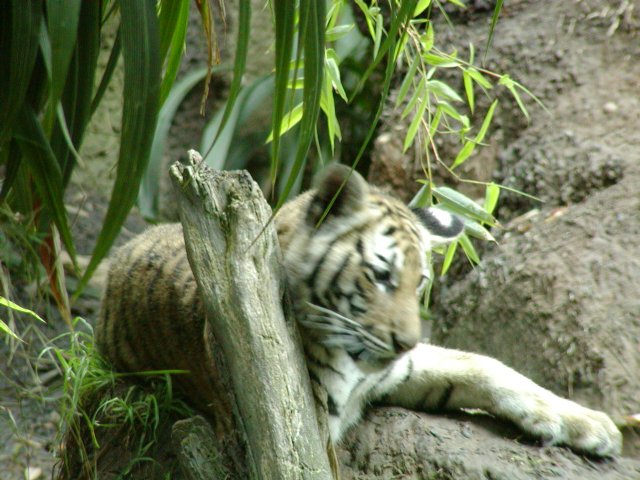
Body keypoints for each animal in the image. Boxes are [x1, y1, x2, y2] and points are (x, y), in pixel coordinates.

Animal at [95, 163, 622, 470]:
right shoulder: (303, 425)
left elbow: (488, 366)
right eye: (381, 275)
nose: (406, 342)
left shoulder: (398, 372)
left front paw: (594, 426)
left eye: (420, 282)